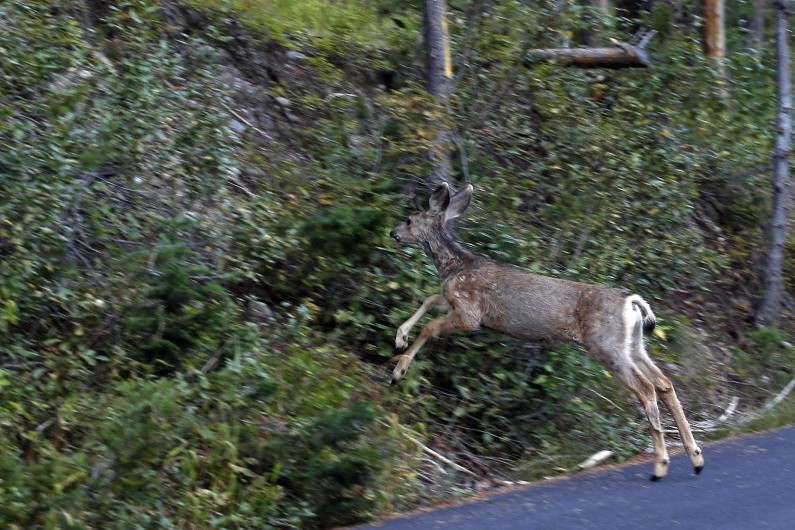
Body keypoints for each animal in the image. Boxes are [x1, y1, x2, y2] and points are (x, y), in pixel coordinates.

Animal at [389, 182, 704, 481]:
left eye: (409, 219)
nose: (393, 232)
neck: (453, 266)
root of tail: (631, 303)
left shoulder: (470, 314)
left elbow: (430, 323)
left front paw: (399, 369)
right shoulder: (454, 303)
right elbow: (430, 299)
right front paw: (400, 337)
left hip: (606, 345)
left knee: (646, 388)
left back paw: (661, 465)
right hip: (633, 345)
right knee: (664, 382)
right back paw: (696, 458)